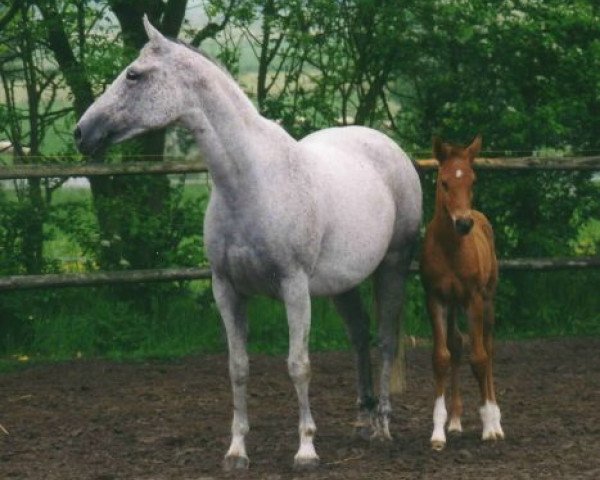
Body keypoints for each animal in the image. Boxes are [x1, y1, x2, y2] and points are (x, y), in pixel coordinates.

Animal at [75, 16, 422, 470]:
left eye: (134, 75)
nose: (82, 132)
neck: (251, 181)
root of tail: (389, 147)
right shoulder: (226, 289)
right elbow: (238, 367)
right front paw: (236, 449)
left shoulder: (294, 288)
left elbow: (298, 365)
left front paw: (306, 449)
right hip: (342, 284)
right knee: (360, 336)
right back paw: (363, 421)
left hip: (393, 266)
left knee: (385, 339)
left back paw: (382, 426)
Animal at [420, 135, 504, 450]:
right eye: (444, 182)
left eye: (473, 180)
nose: (464, 223)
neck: (451, 249)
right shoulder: (435, 298)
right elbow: (441, 356)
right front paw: (437, 432)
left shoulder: (474, 299)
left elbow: (479, 357)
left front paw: (489, 428)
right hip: (455, 305)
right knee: (456, 344)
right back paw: (455, 421)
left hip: (488, 301)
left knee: (488, 350)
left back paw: (495, 418)